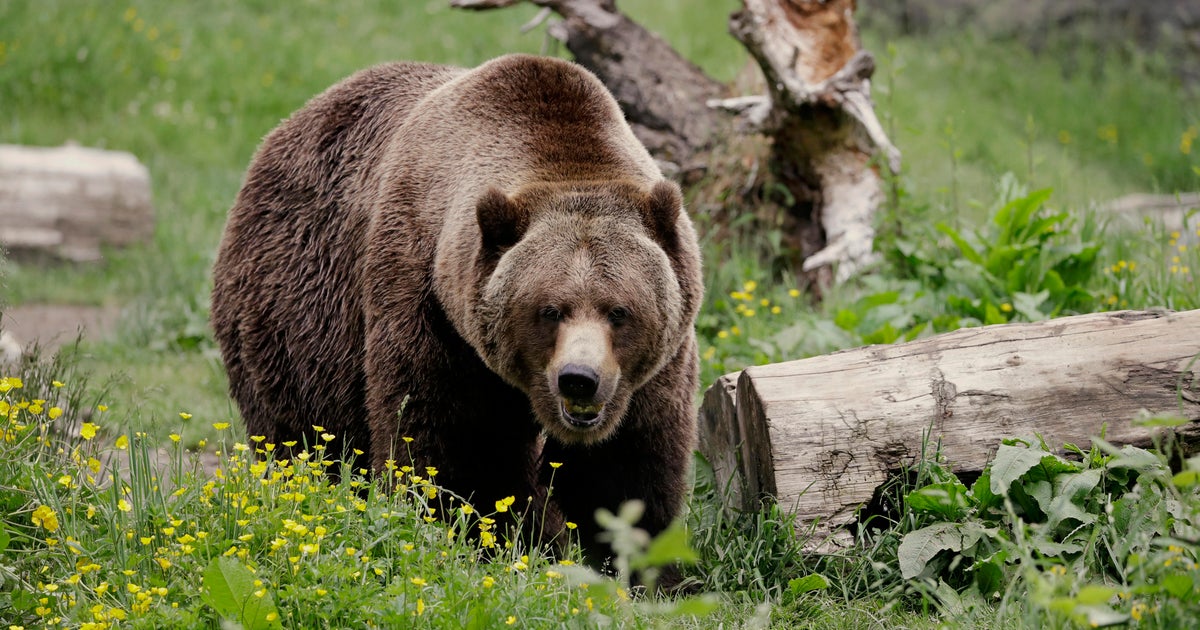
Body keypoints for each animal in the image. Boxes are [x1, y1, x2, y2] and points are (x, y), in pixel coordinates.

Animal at [211, 54, 703, 558]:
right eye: (549, 310)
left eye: (618, 310)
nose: (579, 379)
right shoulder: (431, 309)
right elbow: (452, 448)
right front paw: (483, 536)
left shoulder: (654, 367)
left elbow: (626, 469)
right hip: (297, 314)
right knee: (305, 433)